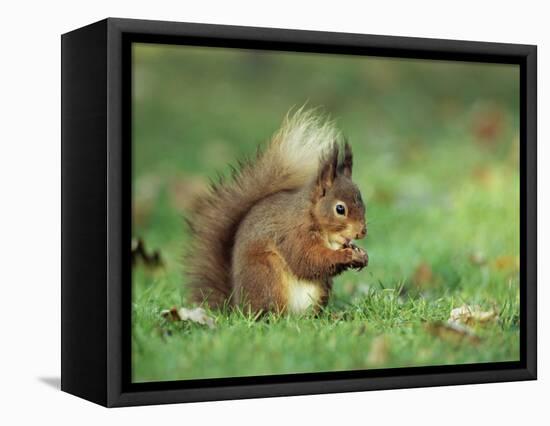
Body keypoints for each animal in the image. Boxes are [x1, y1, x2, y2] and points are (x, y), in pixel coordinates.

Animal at [185, 110, 370, 314]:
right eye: (340, 208)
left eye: (363, 204)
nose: (362, 231)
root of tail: (238, 307)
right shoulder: (294, 234)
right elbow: (308, 259)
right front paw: (346, 255)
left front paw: (361, 254)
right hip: (267, 275)